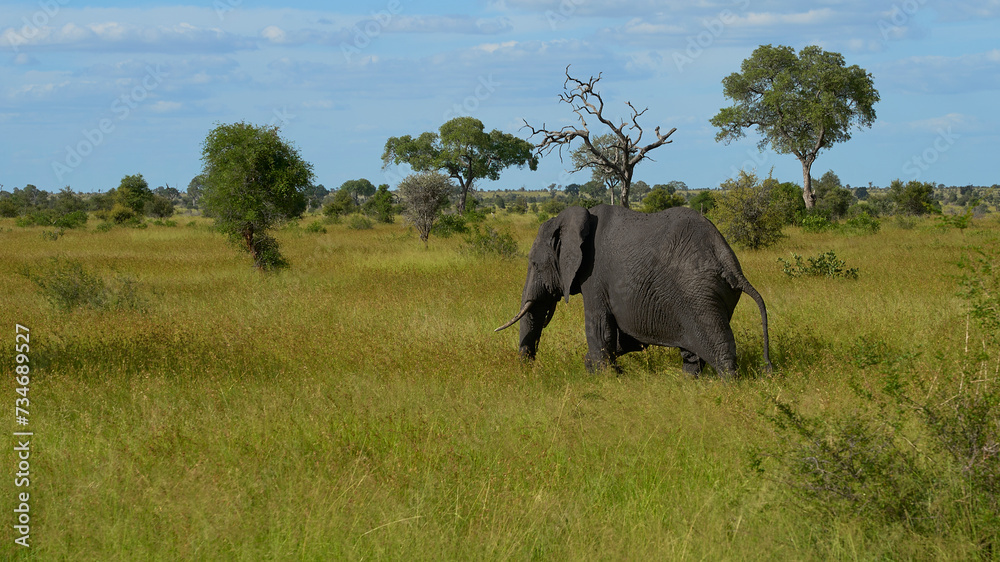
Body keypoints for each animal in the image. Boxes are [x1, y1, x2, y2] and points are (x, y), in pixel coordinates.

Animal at [495, 204, 772, 378]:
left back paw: (729, 385)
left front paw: (605, 377)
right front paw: (597, 368)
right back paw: (688, 384)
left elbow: (599, 326)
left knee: (718, 348)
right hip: (711, 296)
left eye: (534, 264)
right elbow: (623, 337)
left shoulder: (593, 276)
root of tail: (730, 263)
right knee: (694, 351)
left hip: (698, 292)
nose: (528, 372)